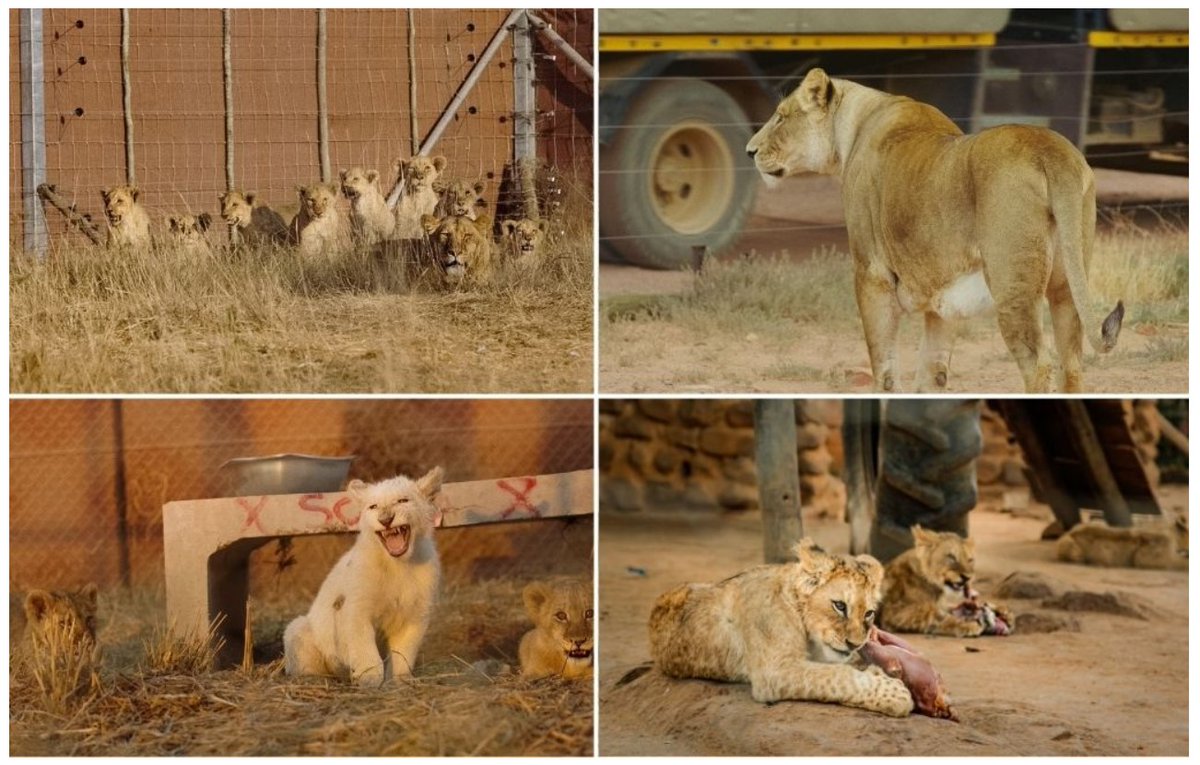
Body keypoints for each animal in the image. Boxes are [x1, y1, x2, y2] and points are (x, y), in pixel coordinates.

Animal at [648, 538, 914, 717]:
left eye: (869, 613)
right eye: (839, 606)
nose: (855, 644)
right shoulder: (773, 672)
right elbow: (838, 676)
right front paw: (896, 694)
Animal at [746, 67, 1124, 393]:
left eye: (780, 116)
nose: (750, 150)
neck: (855, 125)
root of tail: (1048, 149)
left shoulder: (871, 274)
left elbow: (884, 368)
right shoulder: (943, 296)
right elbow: (932, 373)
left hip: (1013, 288)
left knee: (1039, 366)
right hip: (1067, 283)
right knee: (1071, 364)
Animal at [880, 526, 1013, 637]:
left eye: (970, 560)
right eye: (951, 557)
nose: (967, 578)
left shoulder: (939, 604)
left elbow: (950, 608)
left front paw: (1003, 611)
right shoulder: (895, 612)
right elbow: (935, 616)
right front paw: (967, 625)